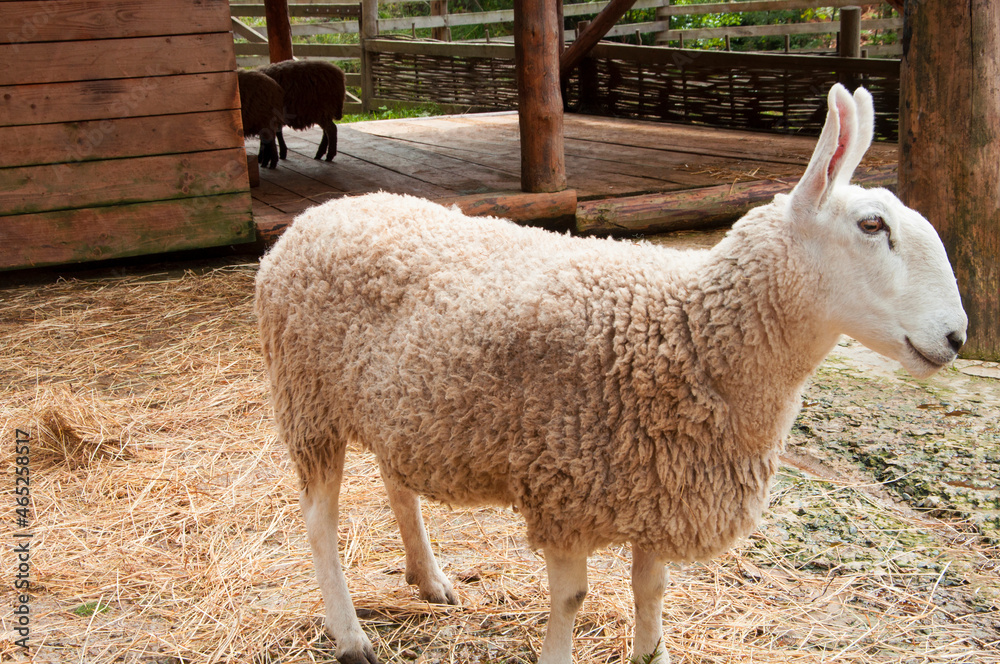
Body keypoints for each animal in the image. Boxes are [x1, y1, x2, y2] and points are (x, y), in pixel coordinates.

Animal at [254, 84, 967, 664]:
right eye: (872, 225)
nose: (957, 337)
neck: (689, 330)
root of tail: (314, 219)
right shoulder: (565, 484)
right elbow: (573, 598)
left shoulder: (656, 486)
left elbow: (650, 591)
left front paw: (652, 650)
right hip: (308, 402)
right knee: (318, 523)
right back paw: (350, 635)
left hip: (391, 404)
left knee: (397, 484)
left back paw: (427, 578)